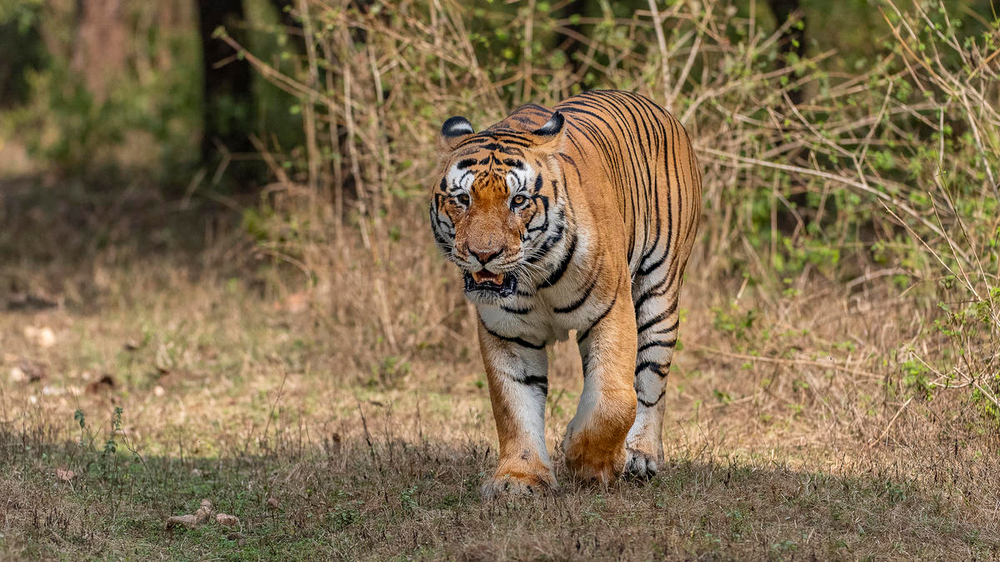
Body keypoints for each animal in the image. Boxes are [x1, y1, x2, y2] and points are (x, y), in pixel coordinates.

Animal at [429, 90, 702, 496]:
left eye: (518, 200)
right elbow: (514, 404)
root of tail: (661, 110)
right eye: (463, 199)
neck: (536, 274)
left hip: (660, 296)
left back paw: (641, 455)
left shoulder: (611, 312)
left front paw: (587, 461)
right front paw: (519, 479)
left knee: (651, 381)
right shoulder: (508, 333)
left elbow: (614, 399)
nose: (484, 254)